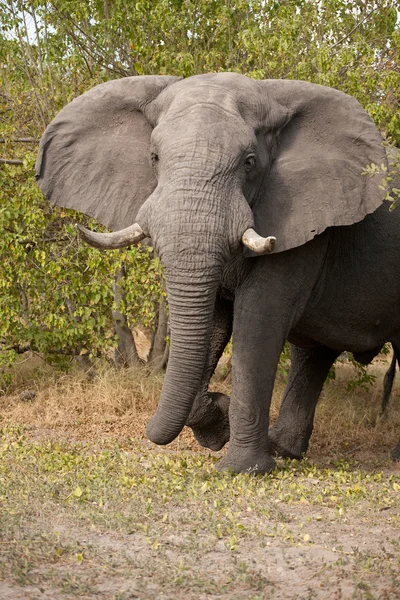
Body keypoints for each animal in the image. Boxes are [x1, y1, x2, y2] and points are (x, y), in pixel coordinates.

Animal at [35, 72, 400, 472]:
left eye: (250, 162)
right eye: (154, 158)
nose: (149, 431)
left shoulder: (303, 223)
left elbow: (258, 322)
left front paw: (242, 469)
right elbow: (210, 323)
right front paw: (217, 424)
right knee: (313, 355)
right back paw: (283, 450)